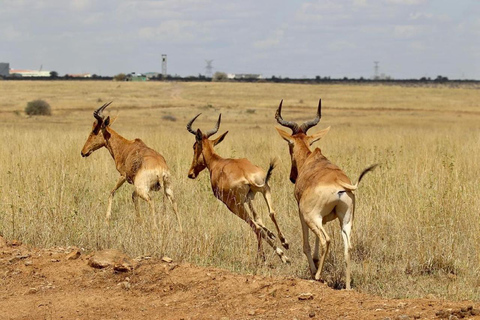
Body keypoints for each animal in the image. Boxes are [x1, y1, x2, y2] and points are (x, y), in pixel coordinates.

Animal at [80, 102, 182, 230]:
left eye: (94, 131)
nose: (83, 152)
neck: (126, 146)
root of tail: (160, 169)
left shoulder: (123, 175)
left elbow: (112, 192)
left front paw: (107, 221)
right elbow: (133, 197)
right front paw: (139, 222)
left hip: (142, 189)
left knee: (151, 201)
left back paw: (154, 229)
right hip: (167, 188)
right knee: (174, 203)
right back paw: (180, 230)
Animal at [187, 114, 288, 264]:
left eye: (194, 147)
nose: (191, 173)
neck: (217, 162)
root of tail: (246, 174)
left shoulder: (234, 203)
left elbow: (257, 223)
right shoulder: (248, 198)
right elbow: (258, 218)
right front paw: (271, 233)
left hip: (235, 207)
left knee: (255, 228)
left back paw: (274, 256)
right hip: (265, 189)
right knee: (271, 213)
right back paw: (284, 242)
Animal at [274, 100, 376, 290]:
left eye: (289, 145)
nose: (292, 177)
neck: (311, 159)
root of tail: (338, 182)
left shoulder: (302, 213)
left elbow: (307, 244)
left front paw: (313, 270)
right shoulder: (325, 219)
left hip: (312, 217)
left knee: (326, 240)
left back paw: (319, 276)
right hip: (346, 219)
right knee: (347, 247)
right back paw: (347, 287)